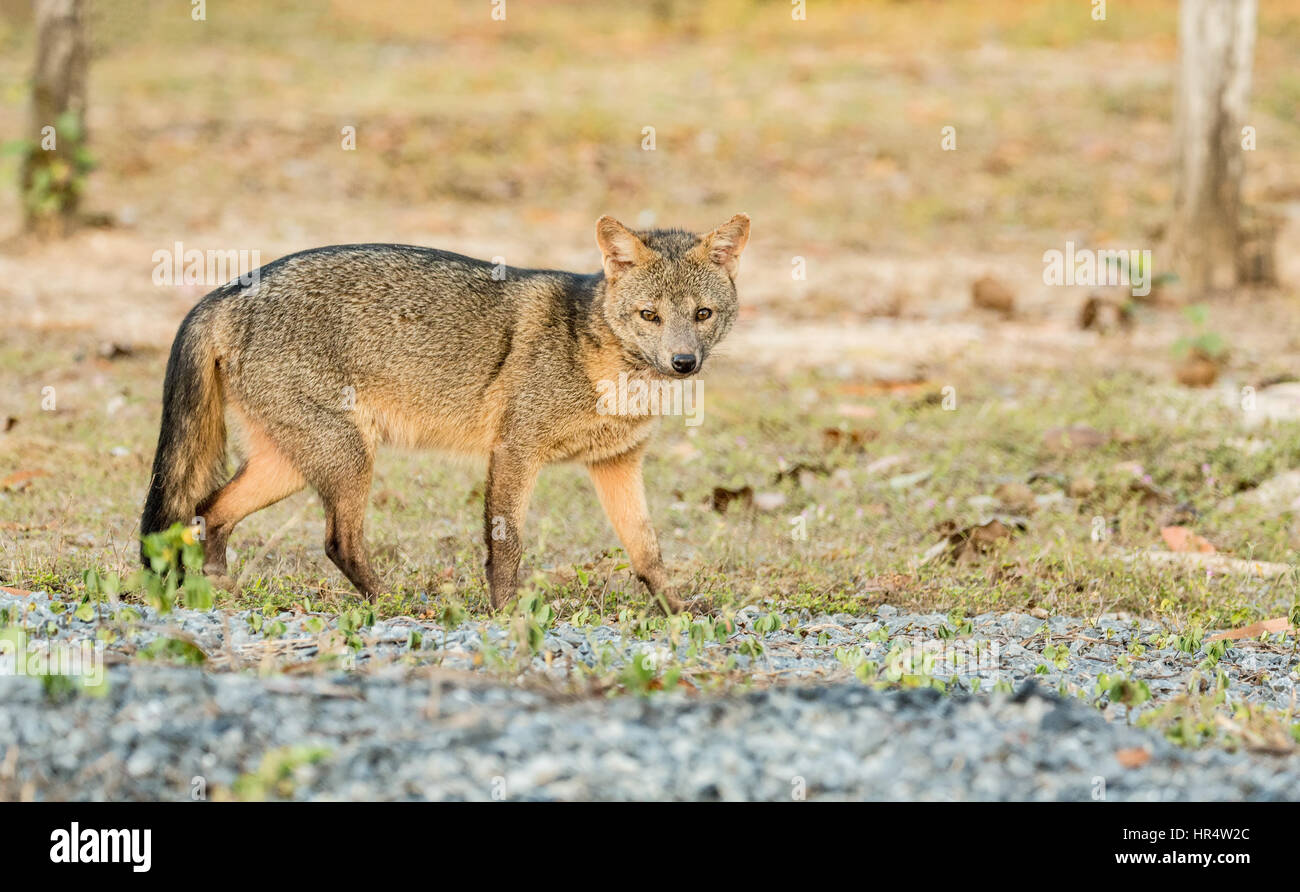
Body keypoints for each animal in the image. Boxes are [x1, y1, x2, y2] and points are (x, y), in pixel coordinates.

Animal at [140, 213, 750, 612]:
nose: (684, 363)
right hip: (347, 457)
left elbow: (648, 551)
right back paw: (393, 602)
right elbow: (506, 546)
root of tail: (227, 290)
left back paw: (220, 590)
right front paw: (506, 614)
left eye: (702, 314)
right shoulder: (515, 451)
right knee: (336, 541)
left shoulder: (617, 464)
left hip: (292, 464)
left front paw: (677, 610)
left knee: (207, 512)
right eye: (649, 315)